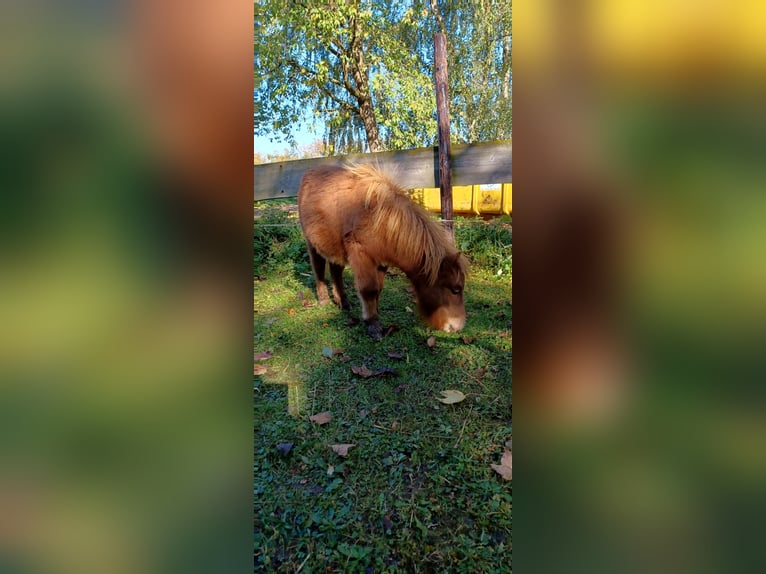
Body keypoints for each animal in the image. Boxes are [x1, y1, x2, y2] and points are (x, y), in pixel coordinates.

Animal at [298, 164, 468, 340]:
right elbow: (368, 290)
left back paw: (343, 302)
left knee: (336, 271)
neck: (382, 221)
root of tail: (310, 172)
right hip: (312, 244)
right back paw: (324, 299)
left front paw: (376, 313)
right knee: (318, 268)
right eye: (456, 289)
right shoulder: (361, 255)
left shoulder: (381, 262)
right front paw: (372, 324)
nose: (458, 327)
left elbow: (378, 288)